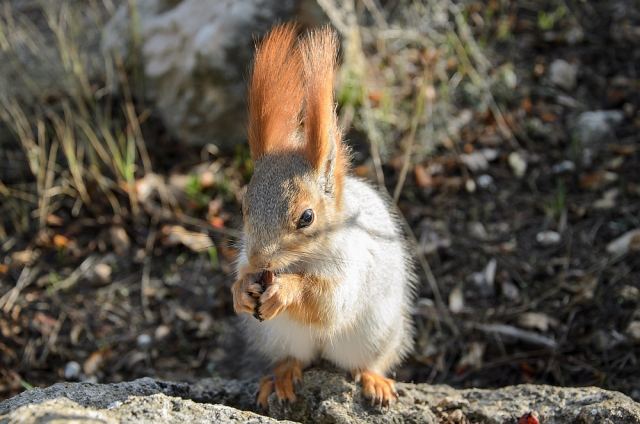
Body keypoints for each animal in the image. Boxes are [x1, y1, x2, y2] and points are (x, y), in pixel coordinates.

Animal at [231, 23, 415, 408]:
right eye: (244, 205)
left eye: (307, 217)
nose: (258, 262)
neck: (300, 261)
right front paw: (240, 289)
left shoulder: (353, 268)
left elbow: (328, 302)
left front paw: (286, 290)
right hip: (276, 337)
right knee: (292, 359)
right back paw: (282, 378)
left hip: (377, 335)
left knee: (367, 362)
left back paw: (374, 381)